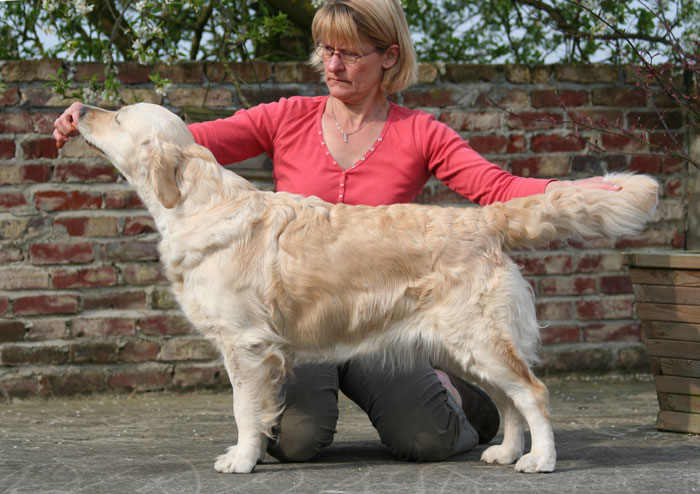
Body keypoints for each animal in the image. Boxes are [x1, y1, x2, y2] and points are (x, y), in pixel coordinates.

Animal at [74, 103, 660, 474]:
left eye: (118, 115)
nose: (77, 110)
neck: (197, 201)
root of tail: (483, 218)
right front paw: (251, 454)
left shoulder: (246, 343)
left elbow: (244, 409)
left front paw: (241, 460)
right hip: (464, 346)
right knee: (509, 400)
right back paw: (507, 452)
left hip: (477, 338)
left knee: (532, 393)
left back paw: (541, 460)